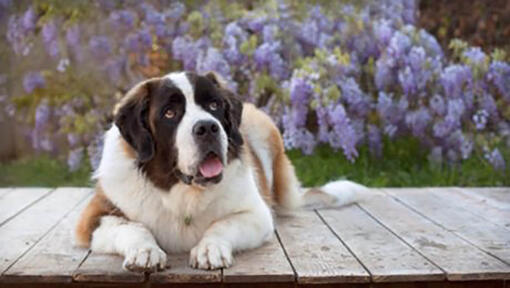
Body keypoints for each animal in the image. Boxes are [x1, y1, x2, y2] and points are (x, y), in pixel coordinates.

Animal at [74, 71, 366, 272]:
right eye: (169, 113)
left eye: (214, 105)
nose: (207, 127)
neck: (182, 191)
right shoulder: (94, 216)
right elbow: (132, 226)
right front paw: (145, 251)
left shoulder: (257, 214)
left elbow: (223, 224)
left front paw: (209, 248)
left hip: (264, 128)